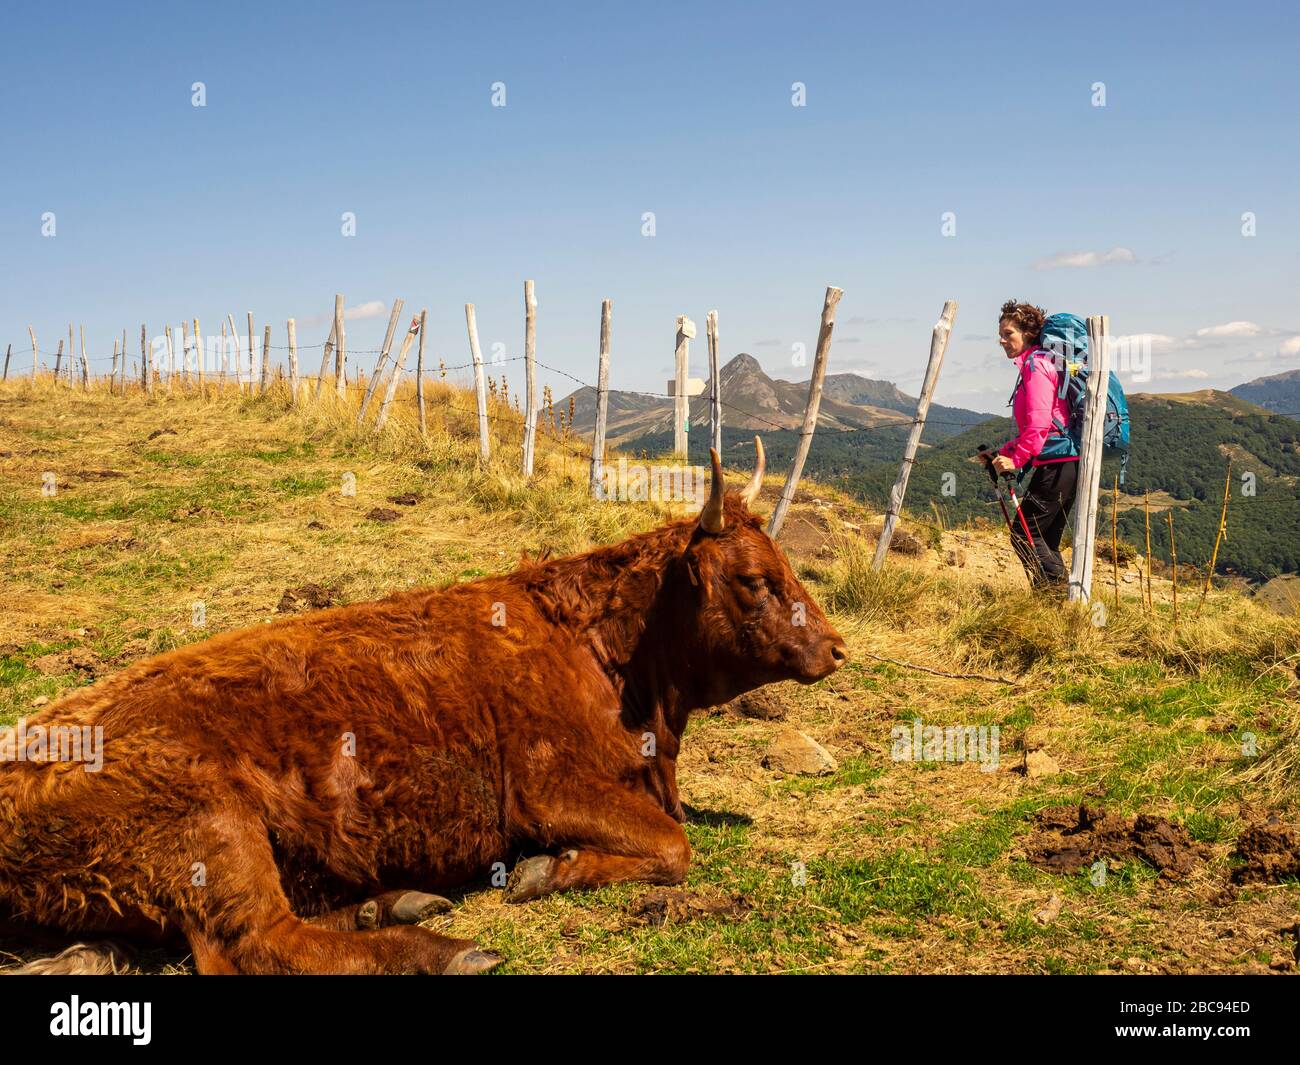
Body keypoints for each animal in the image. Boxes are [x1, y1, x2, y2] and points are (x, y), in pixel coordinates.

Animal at [0, 442, 842, 972]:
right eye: (756, 580)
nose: (836, 646)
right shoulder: (547, 788)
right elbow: (672, 846)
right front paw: (546, 869)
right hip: (209, 825)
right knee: (257, 944)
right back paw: (442, 951)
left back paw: (392, 905)